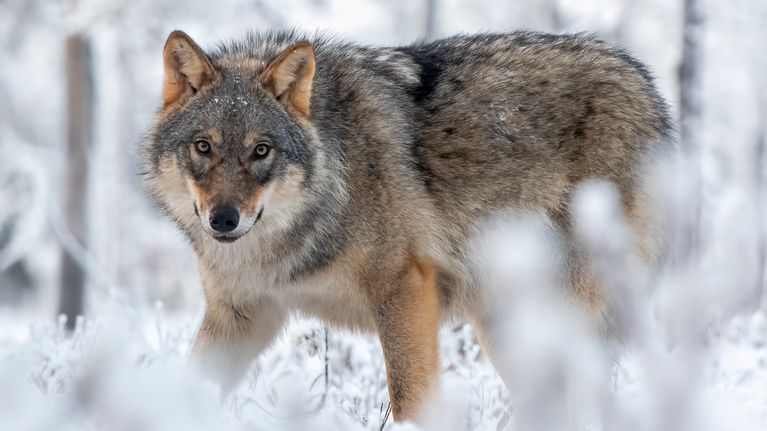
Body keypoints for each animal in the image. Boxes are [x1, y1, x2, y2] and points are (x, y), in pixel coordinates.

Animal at [141, 29, 672, 421]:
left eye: (260, 150)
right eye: (204, 147)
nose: (224, 219)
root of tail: (648, 90)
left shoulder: (404, 288)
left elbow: (409, 399)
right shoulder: (241, 313)